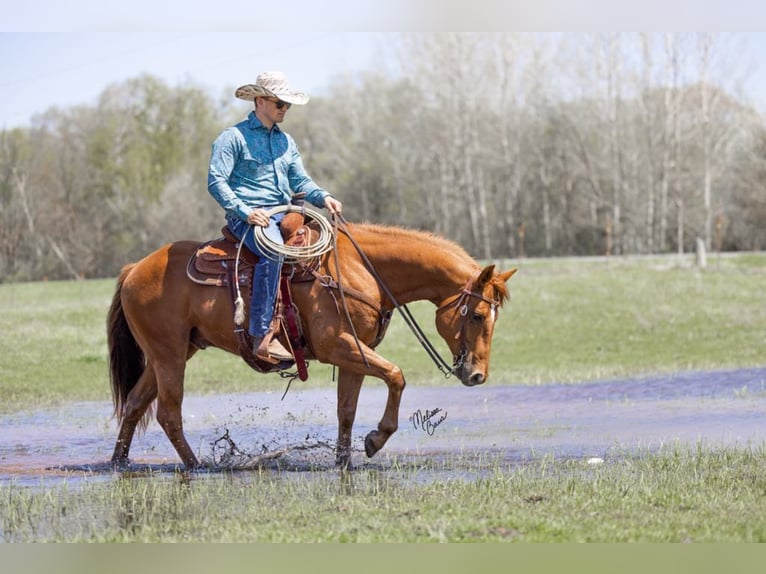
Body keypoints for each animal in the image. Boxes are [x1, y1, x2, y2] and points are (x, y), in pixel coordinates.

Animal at [106, 223, 516, 470]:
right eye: (478, 315)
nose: (477, 375)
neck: (361, 270)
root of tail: (133, 269)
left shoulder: (354, 355)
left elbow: (346, 410)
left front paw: (345, 460)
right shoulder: (339, 345)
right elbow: (396, 375)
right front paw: (376, 439)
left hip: (167, 355)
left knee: (135, 404)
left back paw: (119, 463)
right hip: (170, 356)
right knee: (168, 413)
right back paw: (197, 466)